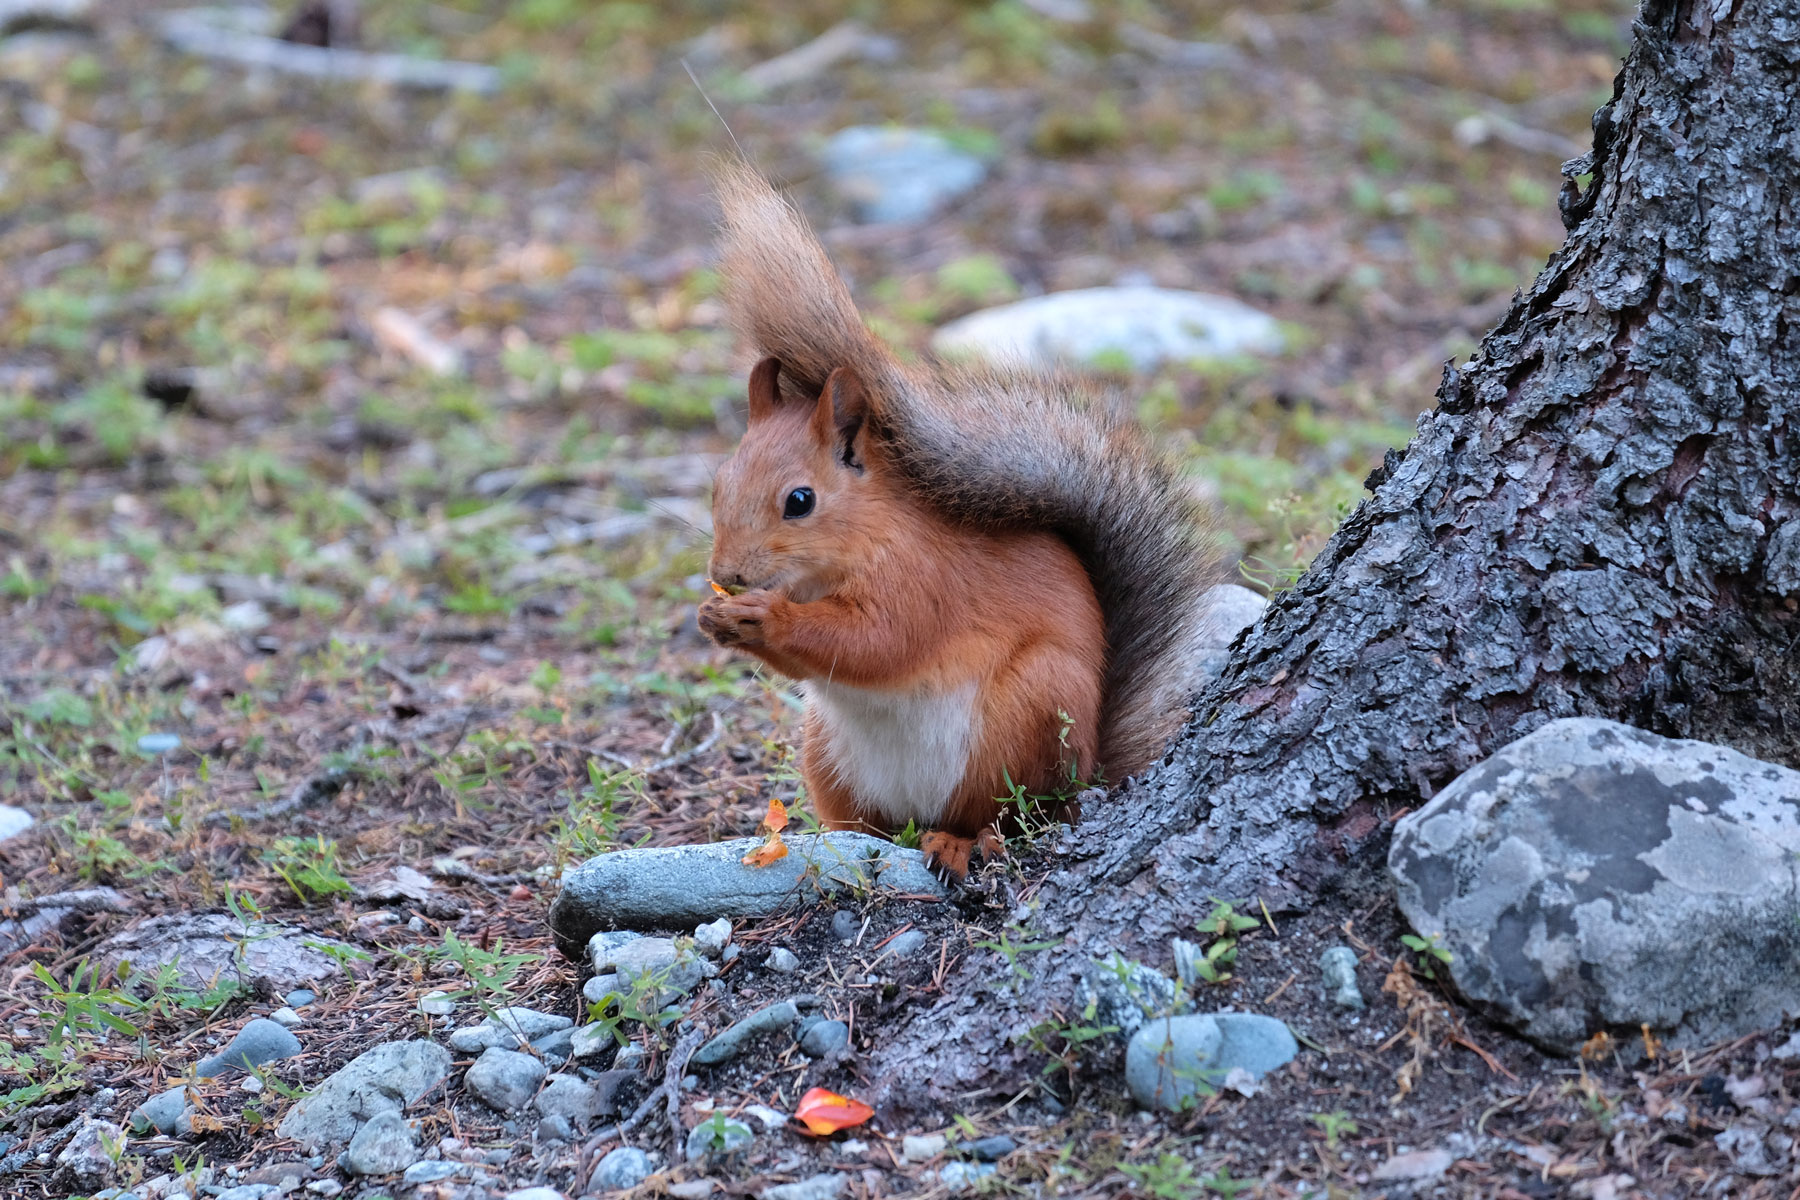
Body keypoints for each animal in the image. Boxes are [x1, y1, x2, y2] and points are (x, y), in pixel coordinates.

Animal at [694, 164, 1216, 877]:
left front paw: (761, 617)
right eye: (718, 483)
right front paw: (711, 615)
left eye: (799, 500)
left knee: (1010, 818)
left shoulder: (922, 578)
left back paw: (962, 843)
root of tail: (1088, 775)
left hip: (1023, 719)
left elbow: (876, 641)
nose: (728, 574)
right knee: (872, 828)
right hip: (827, 754)